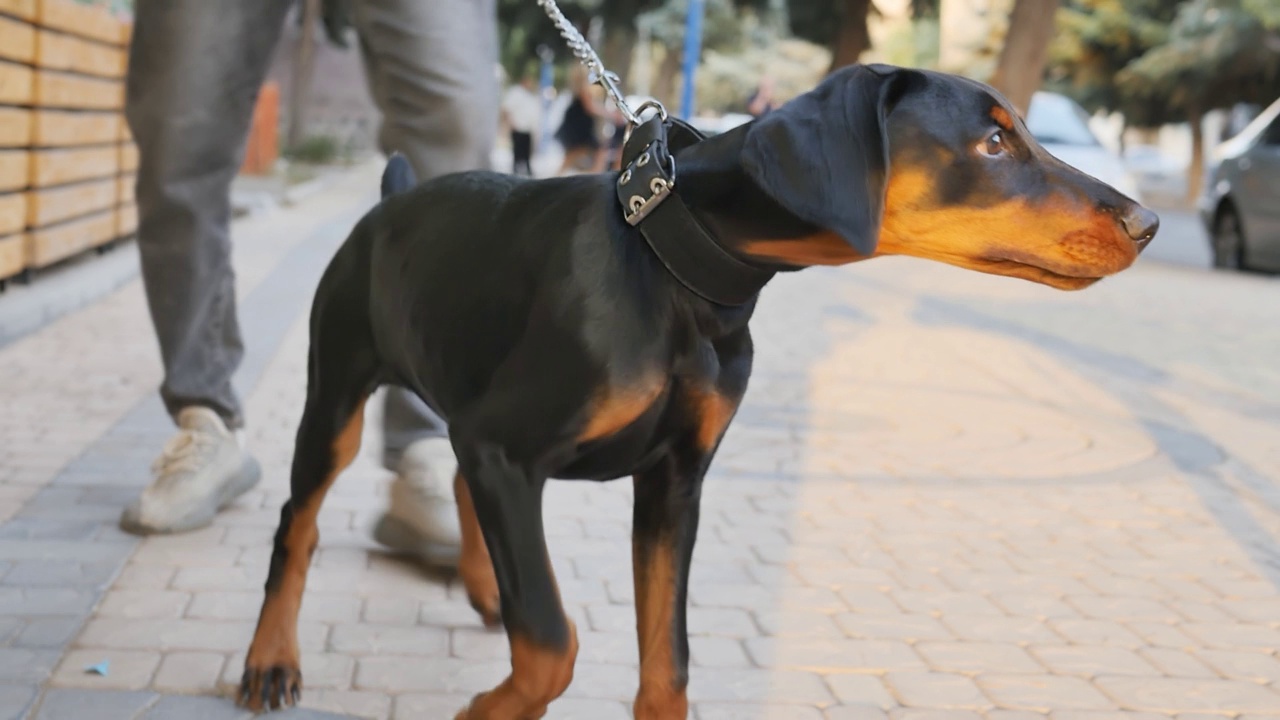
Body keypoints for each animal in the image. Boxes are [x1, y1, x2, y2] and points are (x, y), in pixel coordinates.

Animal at [238, 64, 1162, 712]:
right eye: (994, 144)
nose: (1146, 223)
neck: (677, 271)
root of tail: (387, 200)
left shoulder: (674, 479)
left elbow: (667, 667)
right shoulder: (508, 444)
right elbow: (553, 644)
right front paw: (486, 709)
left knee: (459, 484)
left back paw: (486, 587)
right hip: (337, 394)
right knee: (297, 523)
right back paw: (270, 662)